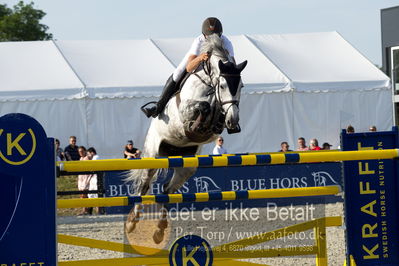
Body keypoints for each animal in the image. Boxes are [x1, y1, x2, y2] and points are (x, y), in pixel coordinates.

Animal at [125, 34, 247, 244]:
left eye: (241, 86)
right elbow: (201, 107)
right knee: (144, 186)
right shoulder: (185, 110)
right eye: (223, 85)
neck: (209, 85)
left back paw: (160, 230)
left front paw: (219, 120)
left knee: (166, 190)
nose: (233, 120)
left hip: (187, 165)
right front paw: (197, 122)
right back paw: (133, 223)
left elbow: (214, 117)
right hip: (153, 155)